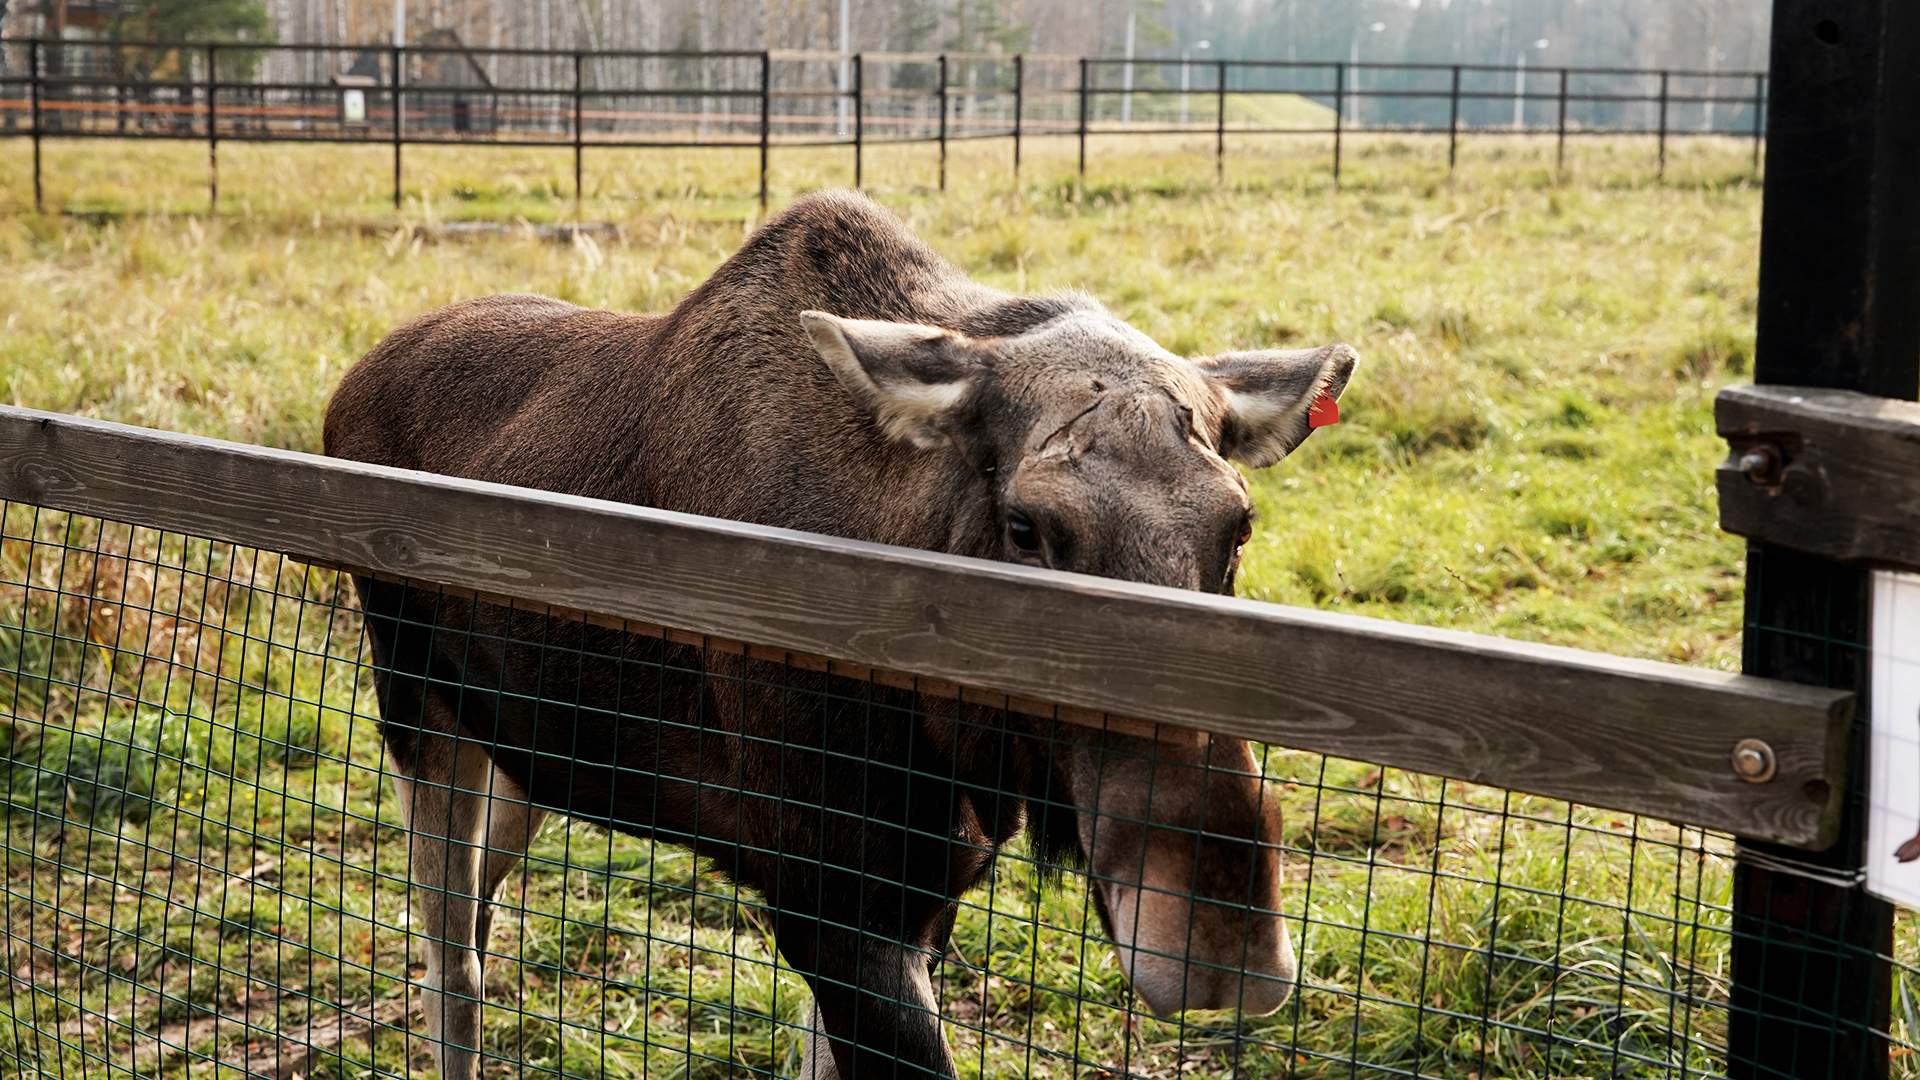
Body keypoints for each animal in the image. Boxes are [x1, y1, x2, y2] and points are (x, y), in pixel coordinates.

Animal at [326, 189, 1351, 1068]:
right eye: (1027, 527)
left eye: (1239, 523)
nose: (1219, 940)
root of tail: (347, 386)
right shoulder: (826, 896)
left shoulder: (926, 892)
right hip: (418, 712)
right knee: (451, 966)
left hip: (531, 751)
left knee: (479, 920)